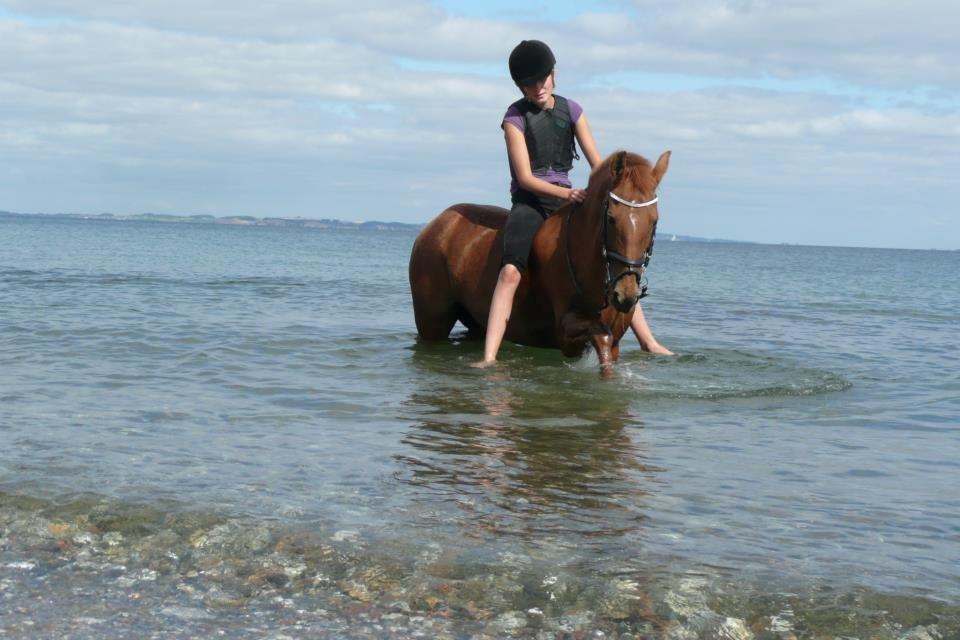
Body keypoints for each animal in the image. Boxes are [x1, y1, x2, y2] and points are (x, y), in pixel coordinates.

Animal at [408, 150, 670, 370]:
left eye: (654, 221)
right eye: (612, 218)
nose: (626, 294)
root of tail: (437, 223)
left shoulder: (613, 337)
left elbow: (607, 343)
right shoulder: (565, 333)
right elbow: (601, 336)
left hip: (474, 321)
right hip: (432, 322)